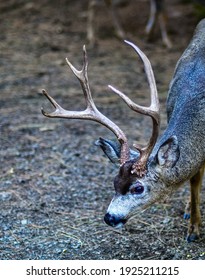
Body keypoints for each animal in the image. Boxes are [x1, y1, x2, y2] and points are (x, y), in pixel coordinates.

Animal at [41, 18, 205, 242]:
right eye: (114, 182)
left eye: (138, 188)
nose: (109, 217)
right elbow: (195, 177)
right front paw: (193, 223)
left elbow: (196, 178)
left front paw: (194, 229)